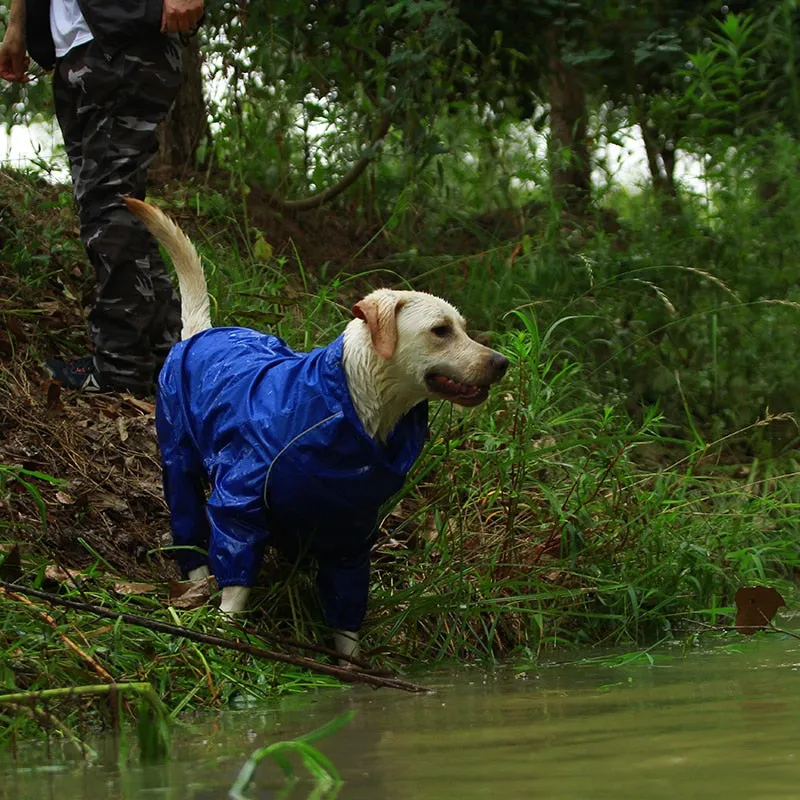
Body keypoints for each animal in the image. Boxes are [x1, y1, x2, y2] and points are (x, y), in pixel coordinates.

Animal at [128, 197, 510, 660]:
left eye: (464, 329)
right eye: (440, 330)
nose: (502, 362)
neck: (347, 406)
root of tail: (202, 333)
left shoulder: (350, 531)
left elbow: (346, 606)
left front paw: (350, 660)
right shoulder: (240, 500)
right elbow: (236, 579)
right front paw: (225, 625)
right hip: (178, 457)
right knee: (187, 521)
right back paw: (197, 577)